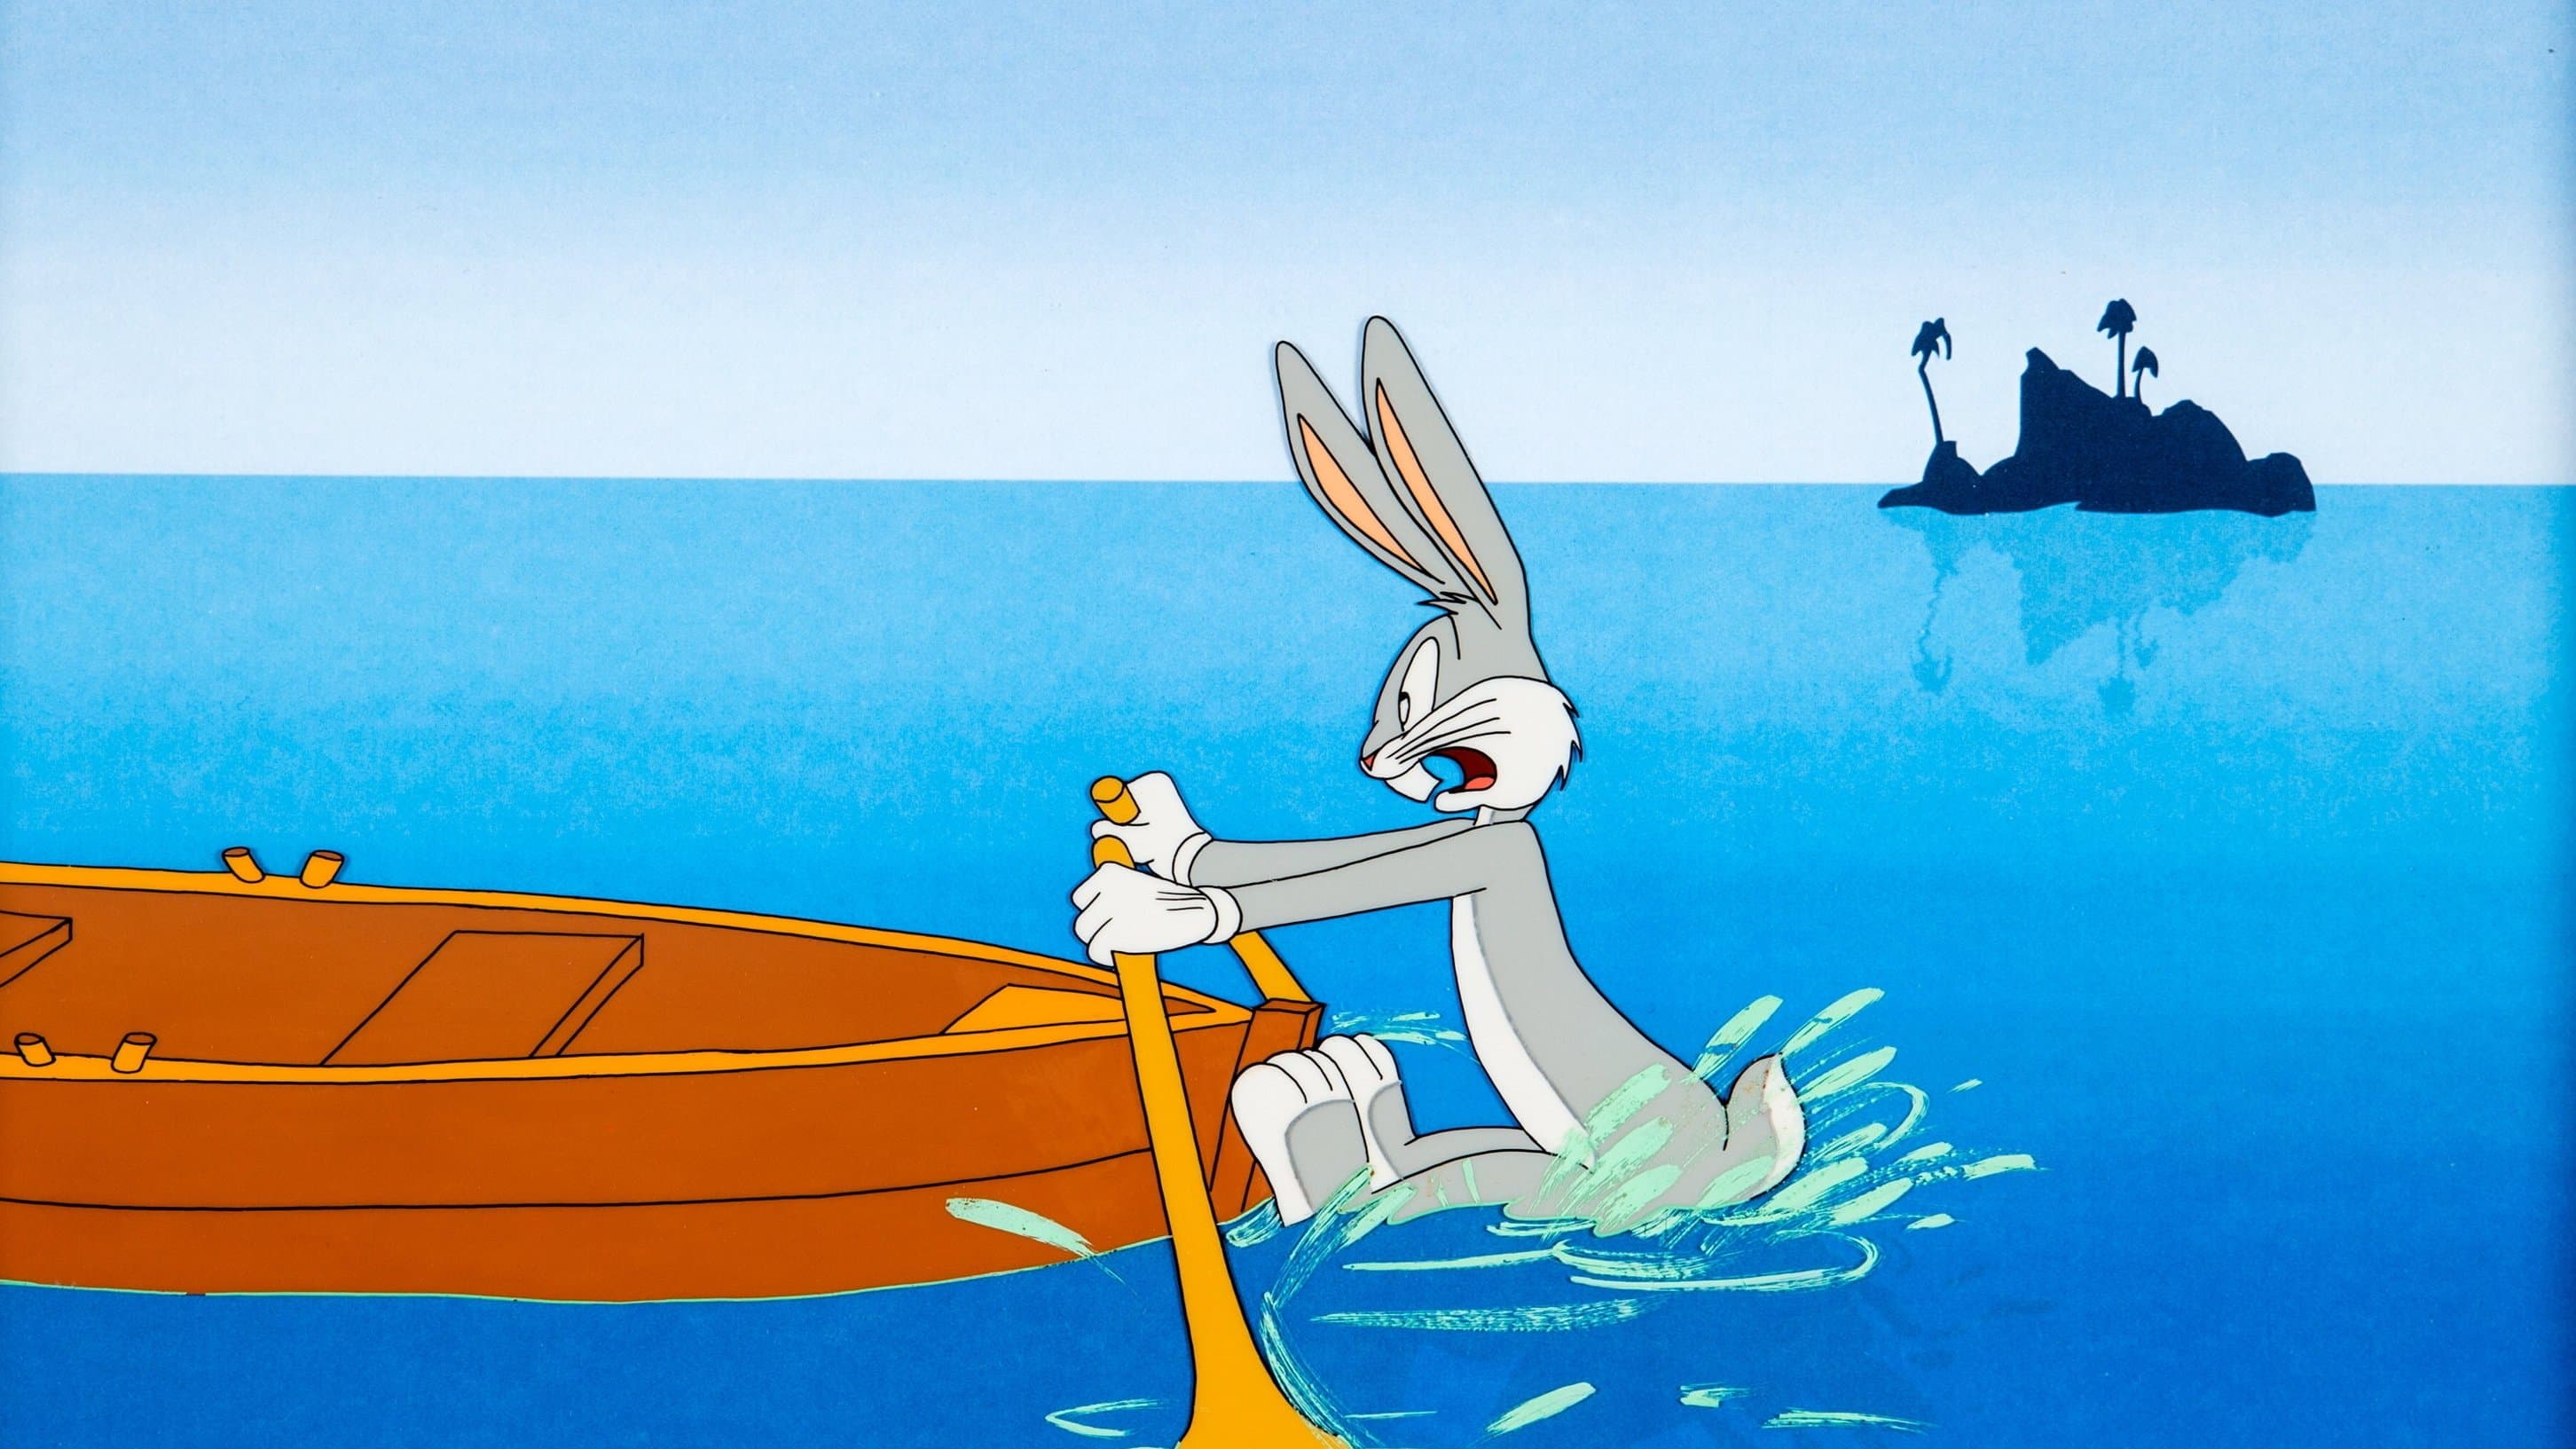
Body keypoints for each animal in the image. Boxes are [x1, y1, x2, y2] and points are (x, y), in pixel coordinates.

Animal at [1072, 316, 1804, 1229]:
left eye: (1411, 692)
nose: (1365, 757)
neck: (1503, 811)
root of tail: (1740, 1160)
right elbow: (1341, 855)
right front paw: (1164, 831)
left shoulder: (1490, 850)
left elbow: (1366, 876)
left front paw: (1156, 911)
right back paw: (1343, 1095)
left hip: (1600, 1183)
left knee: (1440, 1190)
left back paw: (1307, 1119)